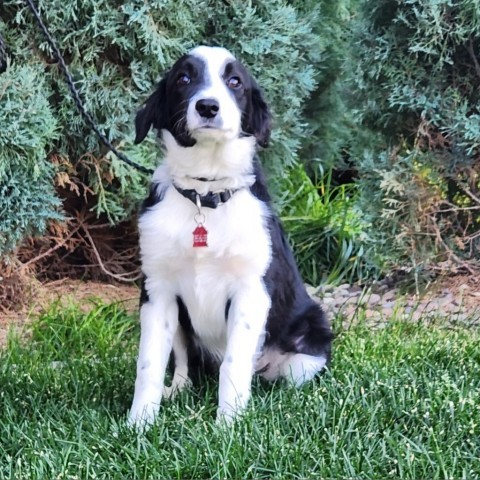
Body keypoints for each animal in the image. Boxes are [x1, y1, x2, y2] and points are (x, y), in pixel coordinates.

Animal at [128, 47, 334, 426]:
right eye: (184, 78)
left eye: (235, 81)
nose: (208, 106)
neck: (204, 193)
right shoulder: (158, 291)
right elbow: (149, 364)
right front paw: (138, 424)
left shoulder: (250, 290)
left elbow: (234, 364)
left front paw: (228, 424)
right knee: (184, 363)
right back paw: (177, 390)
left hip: (309, 336)